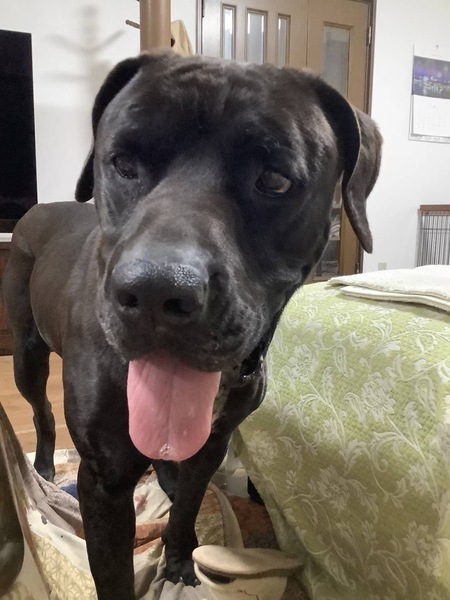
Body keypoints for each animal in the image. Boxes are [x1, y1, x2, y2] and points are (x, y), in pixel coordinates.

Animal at [3, 51, 381, 599]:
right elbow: (113, 574)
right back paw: (45, 467)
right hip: (27, 354)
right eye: (124, 163)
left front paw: (180, 559)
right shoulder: (105, 479)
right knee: (43, 412)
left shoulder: (213, 443)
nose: (157, 291)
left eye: (275, 180)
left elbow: (187, 507)